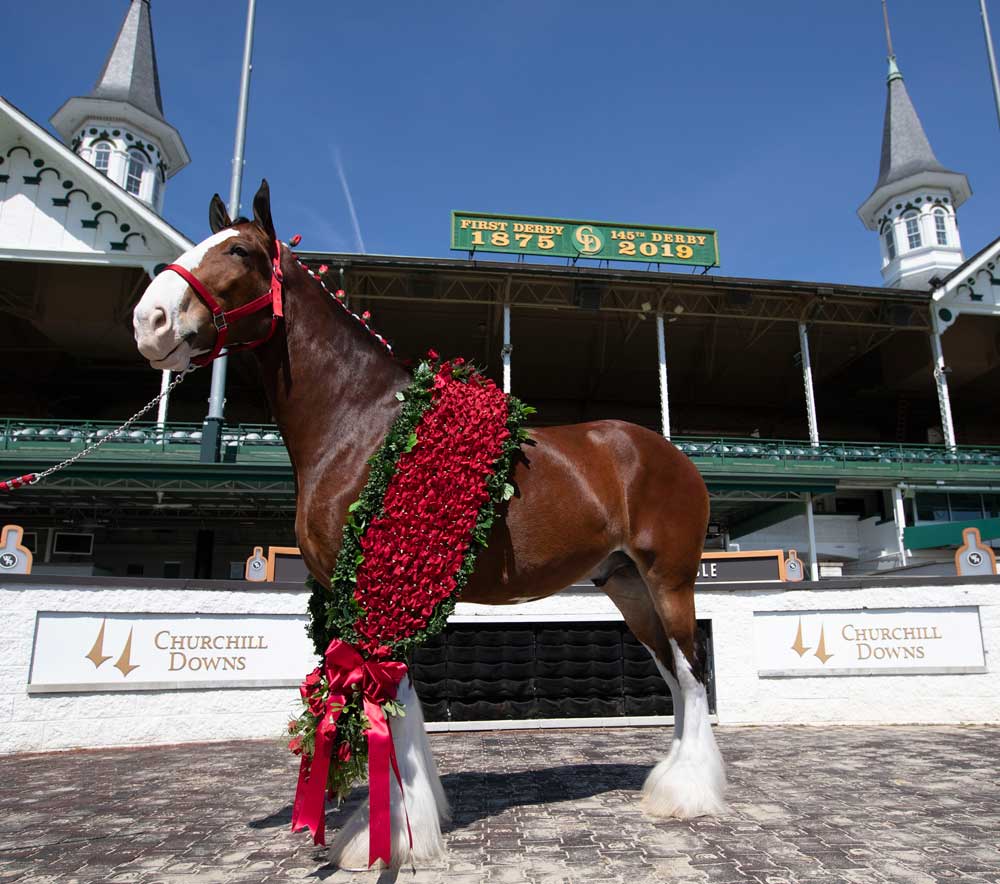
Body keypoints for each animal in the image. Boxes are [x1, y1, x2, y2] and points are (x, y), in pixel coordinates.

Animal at [133, 181, 728, 872]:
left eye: (238, 251)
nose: (149, 321)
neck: (360, 425)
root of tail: (673, 455)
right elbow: (400, 705)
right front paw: (409, 822)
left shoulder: (382, 589)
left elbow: (390, 702)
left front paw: (388, 838)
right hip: (628, 587)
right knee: (675, 675)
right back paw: (669, 785)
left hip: (670, 581)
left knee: (692, 672)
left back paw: (690, 795)